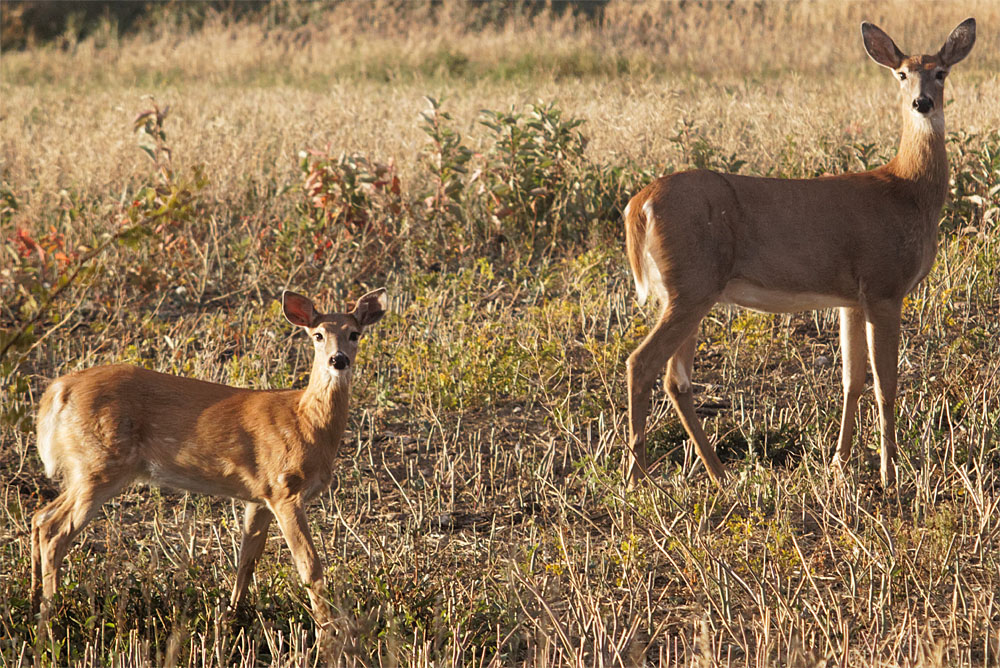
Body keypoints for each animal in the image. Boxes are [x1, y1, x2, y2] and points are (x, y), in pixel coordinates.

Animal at [30, 288, 387, 638]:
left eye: (354, 334)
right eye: (317, 335)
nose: (338, 360)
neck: (306, 423)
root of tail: (58, 390)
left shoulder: (260, 496)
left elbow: (247, 561)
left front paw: (230, 618)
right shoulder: (285, 489)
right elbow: (310, 567)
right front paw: (331, 633)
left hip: (85, 467)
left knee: (39, 516)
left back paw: (33, 600)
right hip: (100, 463)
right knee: (54, 529)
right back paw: (49, 618)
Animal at [623, 19, 976, 489]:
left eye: (941, 72)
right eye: (901, 74)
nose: (923, 102)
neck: (907, 189)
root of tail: (638, 205)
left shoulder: (851, 297)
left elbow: (852, 379)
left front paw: (840, 464)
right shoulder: (884, 284)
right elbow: (887, 382)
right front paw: (890, 473)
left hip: (684, 291)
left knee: (675, 378)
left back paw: (719, 474)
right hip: (692, 285)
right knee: (641, 363)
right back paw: (637, 476)